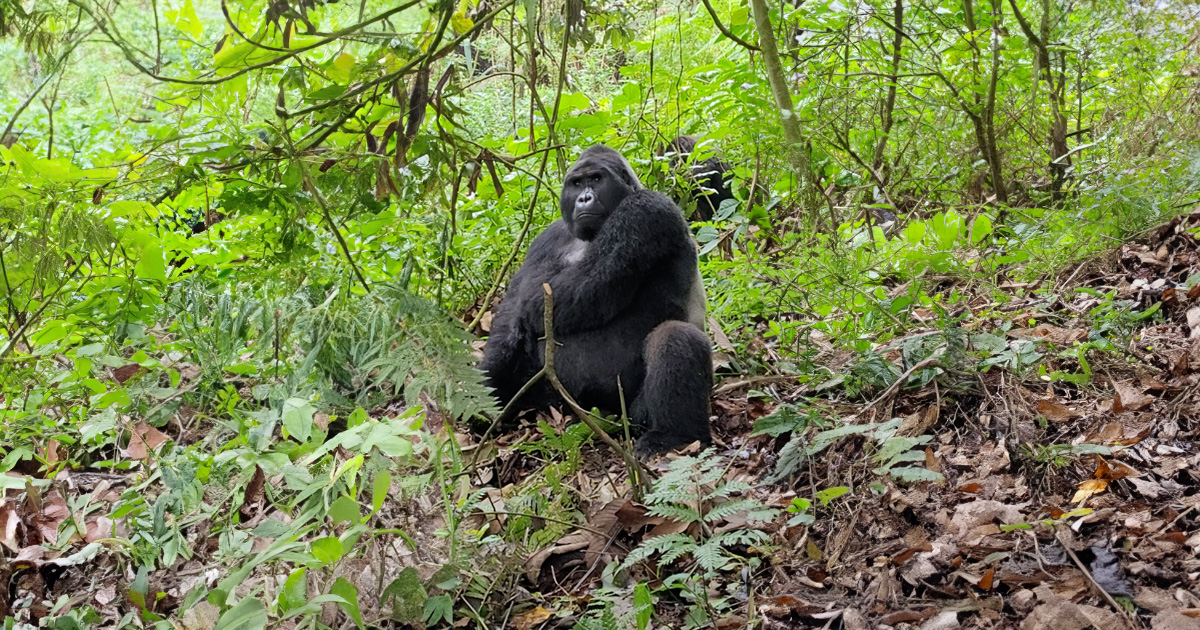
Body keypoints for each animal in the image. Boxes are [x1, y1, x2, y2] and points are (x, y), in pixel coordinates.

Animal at [480, 145, 710, 453]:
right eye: (577, 183)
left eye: (597, 179)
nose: (584, 198)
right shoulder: (546, 237)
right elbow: (515, 307)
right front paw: (488, 385)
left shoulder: (647, 210)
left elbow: (547, 299)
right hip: (561, 403)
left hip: (631, 415)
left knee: (675, 337)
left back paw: (674, 436)